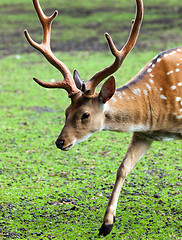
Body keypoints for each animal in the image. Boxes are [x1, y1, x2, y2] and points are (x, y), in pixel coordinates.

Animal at [24, 0, 182, 236]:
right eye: (66, 111)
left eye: (85, 114)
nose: (60, 141)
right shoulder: (144, 134)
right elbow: (123, 168)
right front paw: (106, 224)